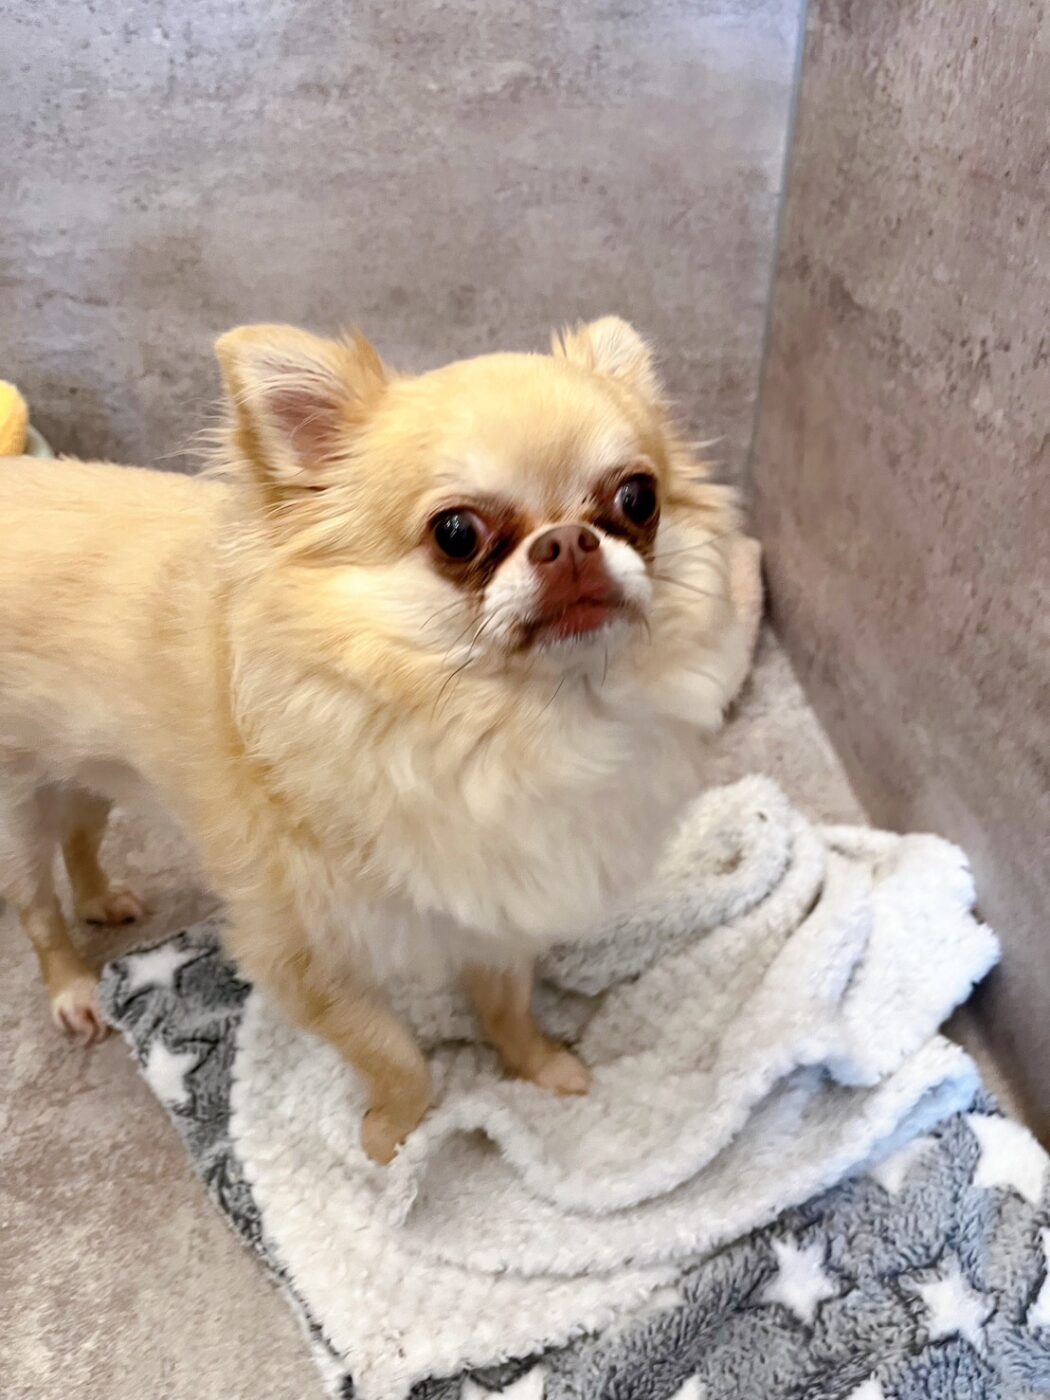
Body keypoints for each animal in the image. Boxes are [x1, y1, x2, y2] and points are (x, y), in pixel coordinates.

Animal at [0, 318, 760, 1162]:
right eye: (456, 534)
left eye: (638, 497)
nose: (568, 541)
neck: (518, 727)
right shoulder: (304, 962)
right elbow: (398, 1061)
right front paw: (391, 1141)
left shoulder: (498, 916)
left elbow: (508, 1006)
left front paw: (539, 1068)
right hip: (18, 812)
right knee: (37, 907)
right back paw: (73, 988)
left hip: (82, 771)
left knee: (81, 838)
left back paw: (103, 900)